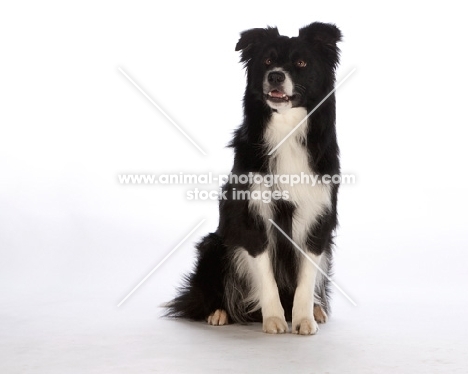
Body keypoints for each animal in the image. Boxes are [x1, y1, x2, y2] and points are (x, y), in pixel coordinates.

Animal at [166, 21, 342, 334]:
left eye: (301, 63)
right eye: (268, 61)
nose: (275, 76)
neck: (286, 130)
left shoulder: (317, 218)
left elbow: (306, 278)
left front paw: (303, 319)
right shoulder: (251, 216)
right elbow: (265, 274)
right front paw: (273, 319)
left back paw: (317, 309)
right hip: (213, 246)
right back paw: (219, 312)